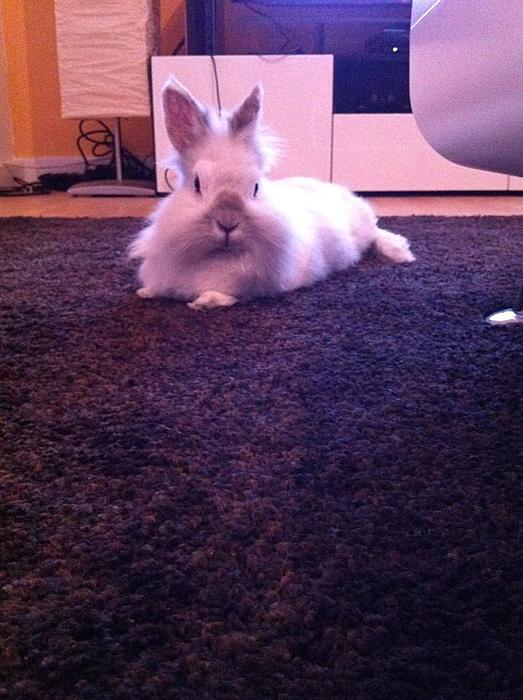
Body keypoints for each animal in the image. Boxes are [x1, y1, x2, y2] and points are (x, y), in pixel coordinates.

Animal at [129, 78, 414, 310]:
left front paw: (205, 301)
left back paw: (400, 252)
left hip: (362, 227)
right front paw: (146, 292)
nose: (227, 223)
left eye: (255, 187)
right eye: (197, 184)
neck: (218, 256)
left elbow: (231, 295)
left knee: (377, 232)